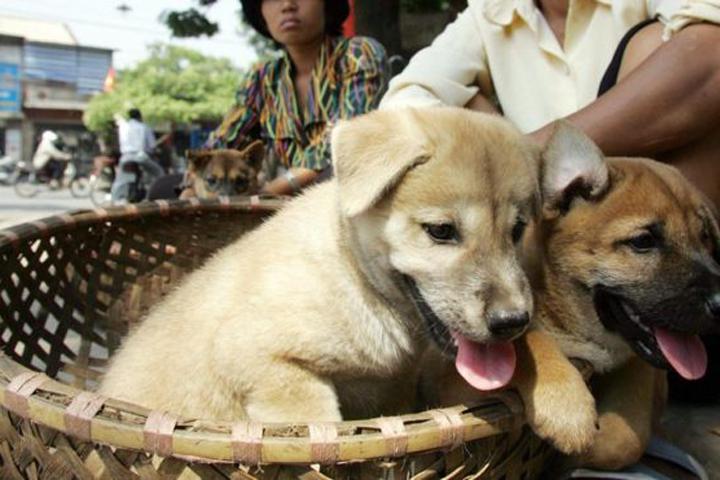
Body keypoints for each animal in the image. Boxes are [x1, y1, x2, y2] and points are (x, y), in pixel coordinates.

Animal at [422, 123, 720, 468]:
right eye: (643, 241)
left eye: (705, 237)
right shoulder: (454, 384)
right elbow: (526, 341)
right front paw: (567, 408)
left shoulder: (637, 362)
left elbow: (626, 439)